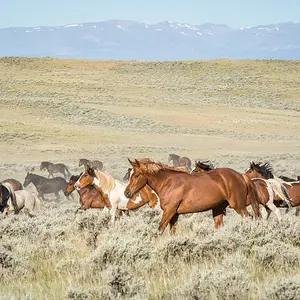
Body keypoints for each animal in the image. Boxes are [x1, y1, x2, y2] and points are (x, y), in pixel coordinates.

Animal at [124, 158, 260, 233]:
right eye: (130, 174)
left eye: (136, 175)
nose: (127, 193)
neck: (168, 183)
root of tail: (241, 176)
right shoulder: (175, 214)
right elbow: (172, 231)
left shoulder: (169, 212)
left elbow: (160, 230)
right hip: (218, 209)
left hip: (238, 206)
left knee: (249, 218)